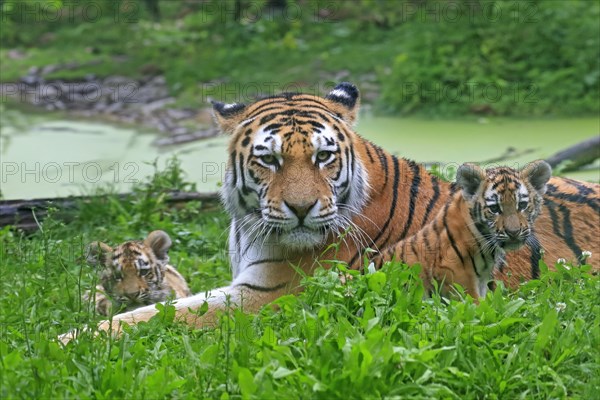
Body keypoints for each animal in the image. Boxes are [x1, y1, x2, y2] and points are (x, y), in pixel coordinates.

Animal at [58, 83, 600, 342]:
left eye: (323, 156)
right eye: (269, 159)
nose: (301, 209)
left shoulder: (269, 297)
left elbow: (155, 317)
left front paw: (64, 340)